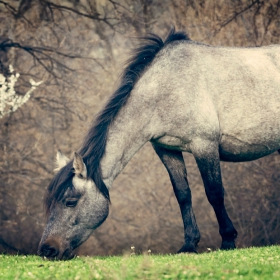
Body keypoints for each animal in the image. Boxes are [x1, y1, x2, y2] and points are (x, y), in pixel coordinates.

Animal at [38, 28, 280, 260]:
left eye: (70, 201)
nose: (47, 250)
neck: (166, 89)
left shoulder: (205, 146)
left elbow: (215, 193)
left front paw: (228, 241)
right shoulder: (166, 149)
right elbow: (183, 195)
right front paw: (189, 244)